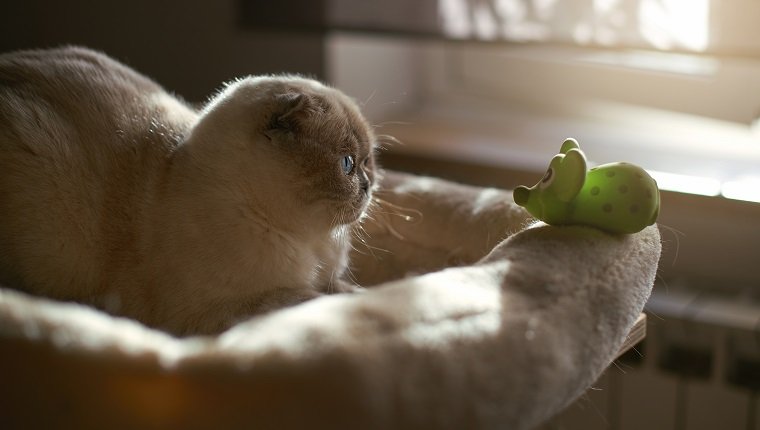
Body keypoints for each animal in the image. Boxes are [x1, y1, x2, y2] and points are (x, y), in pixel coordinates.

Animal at [0, 46, 378, 336]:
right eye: (346, 164)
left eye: (367, 162)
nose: (368, 184)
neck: (310, 247)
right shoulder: (221, 311)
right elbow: (308, 298)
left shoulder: (326, 277)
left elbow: (346, 288)